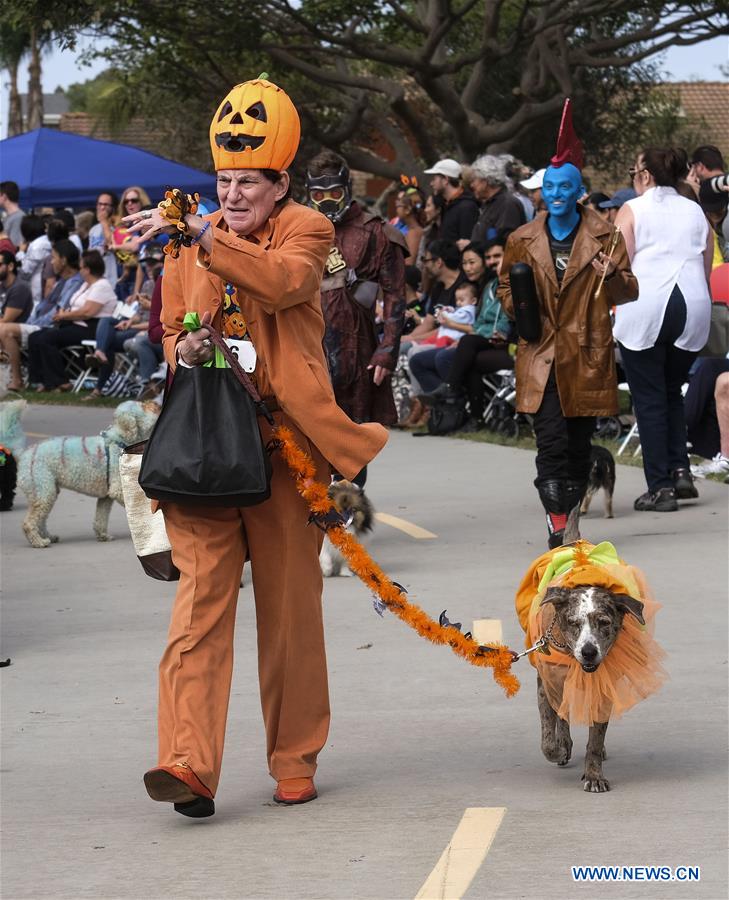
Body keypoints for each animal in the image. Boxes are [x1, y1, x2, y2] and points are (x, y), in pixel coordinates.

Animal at [16, 400, 158, 548]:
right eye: (143, 406)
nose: (156, 404)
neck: (120, 440)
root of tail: (24, 454)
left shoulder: (106, 496)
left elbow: (101, 518)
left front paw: (103, 536)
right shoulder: (118, 489)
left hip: (46, 492)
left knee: (41, 519)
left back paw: (48, 537)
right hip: (43, 491)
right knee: (29, 522)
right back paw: (39, 541)